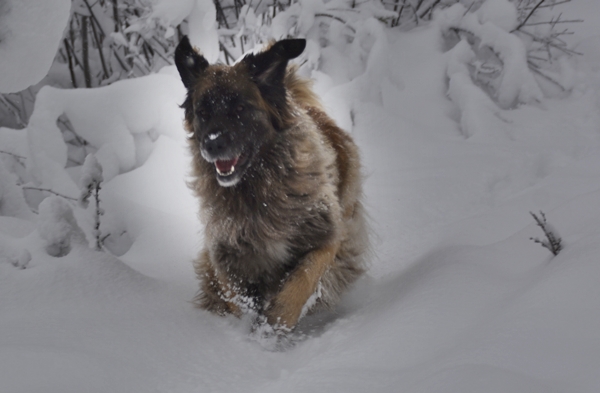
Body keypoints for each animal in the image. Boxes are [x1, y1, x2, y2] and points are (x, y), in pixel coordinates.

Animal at [173, 35, 368, 332]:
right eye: (202, 112)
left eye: (240, 108)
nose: (212, 144)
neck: (257, 189)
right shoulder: (224, 255)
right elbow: (235, 297)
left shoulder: (327, 237)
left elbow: (304, 277)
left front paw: (277, 322)